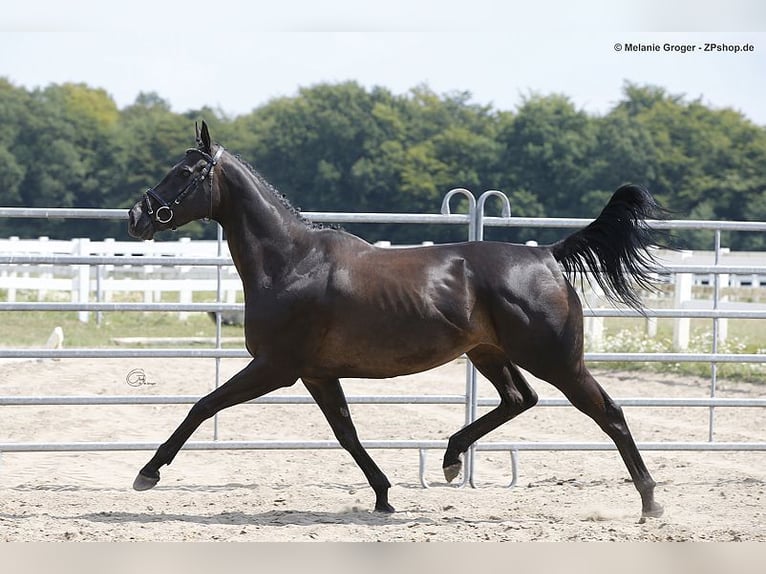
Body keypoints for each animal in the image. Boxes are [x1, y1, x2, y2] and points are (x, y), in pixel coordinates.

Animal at [127, 119, 664, 520]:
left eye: (183, 171)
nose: (137, 215)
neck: (292, 262)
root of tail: (548, 255)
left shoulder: (275, 368)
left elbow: (202, 406)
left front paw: (148, 473)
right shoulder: (316, 374)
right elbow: (346, 433)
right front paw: (384, 495)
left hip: (556, 360)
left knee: (609, 413)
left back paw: (650, 502)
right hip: (489, 353)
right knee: (520, 398)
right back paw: (450, 460)